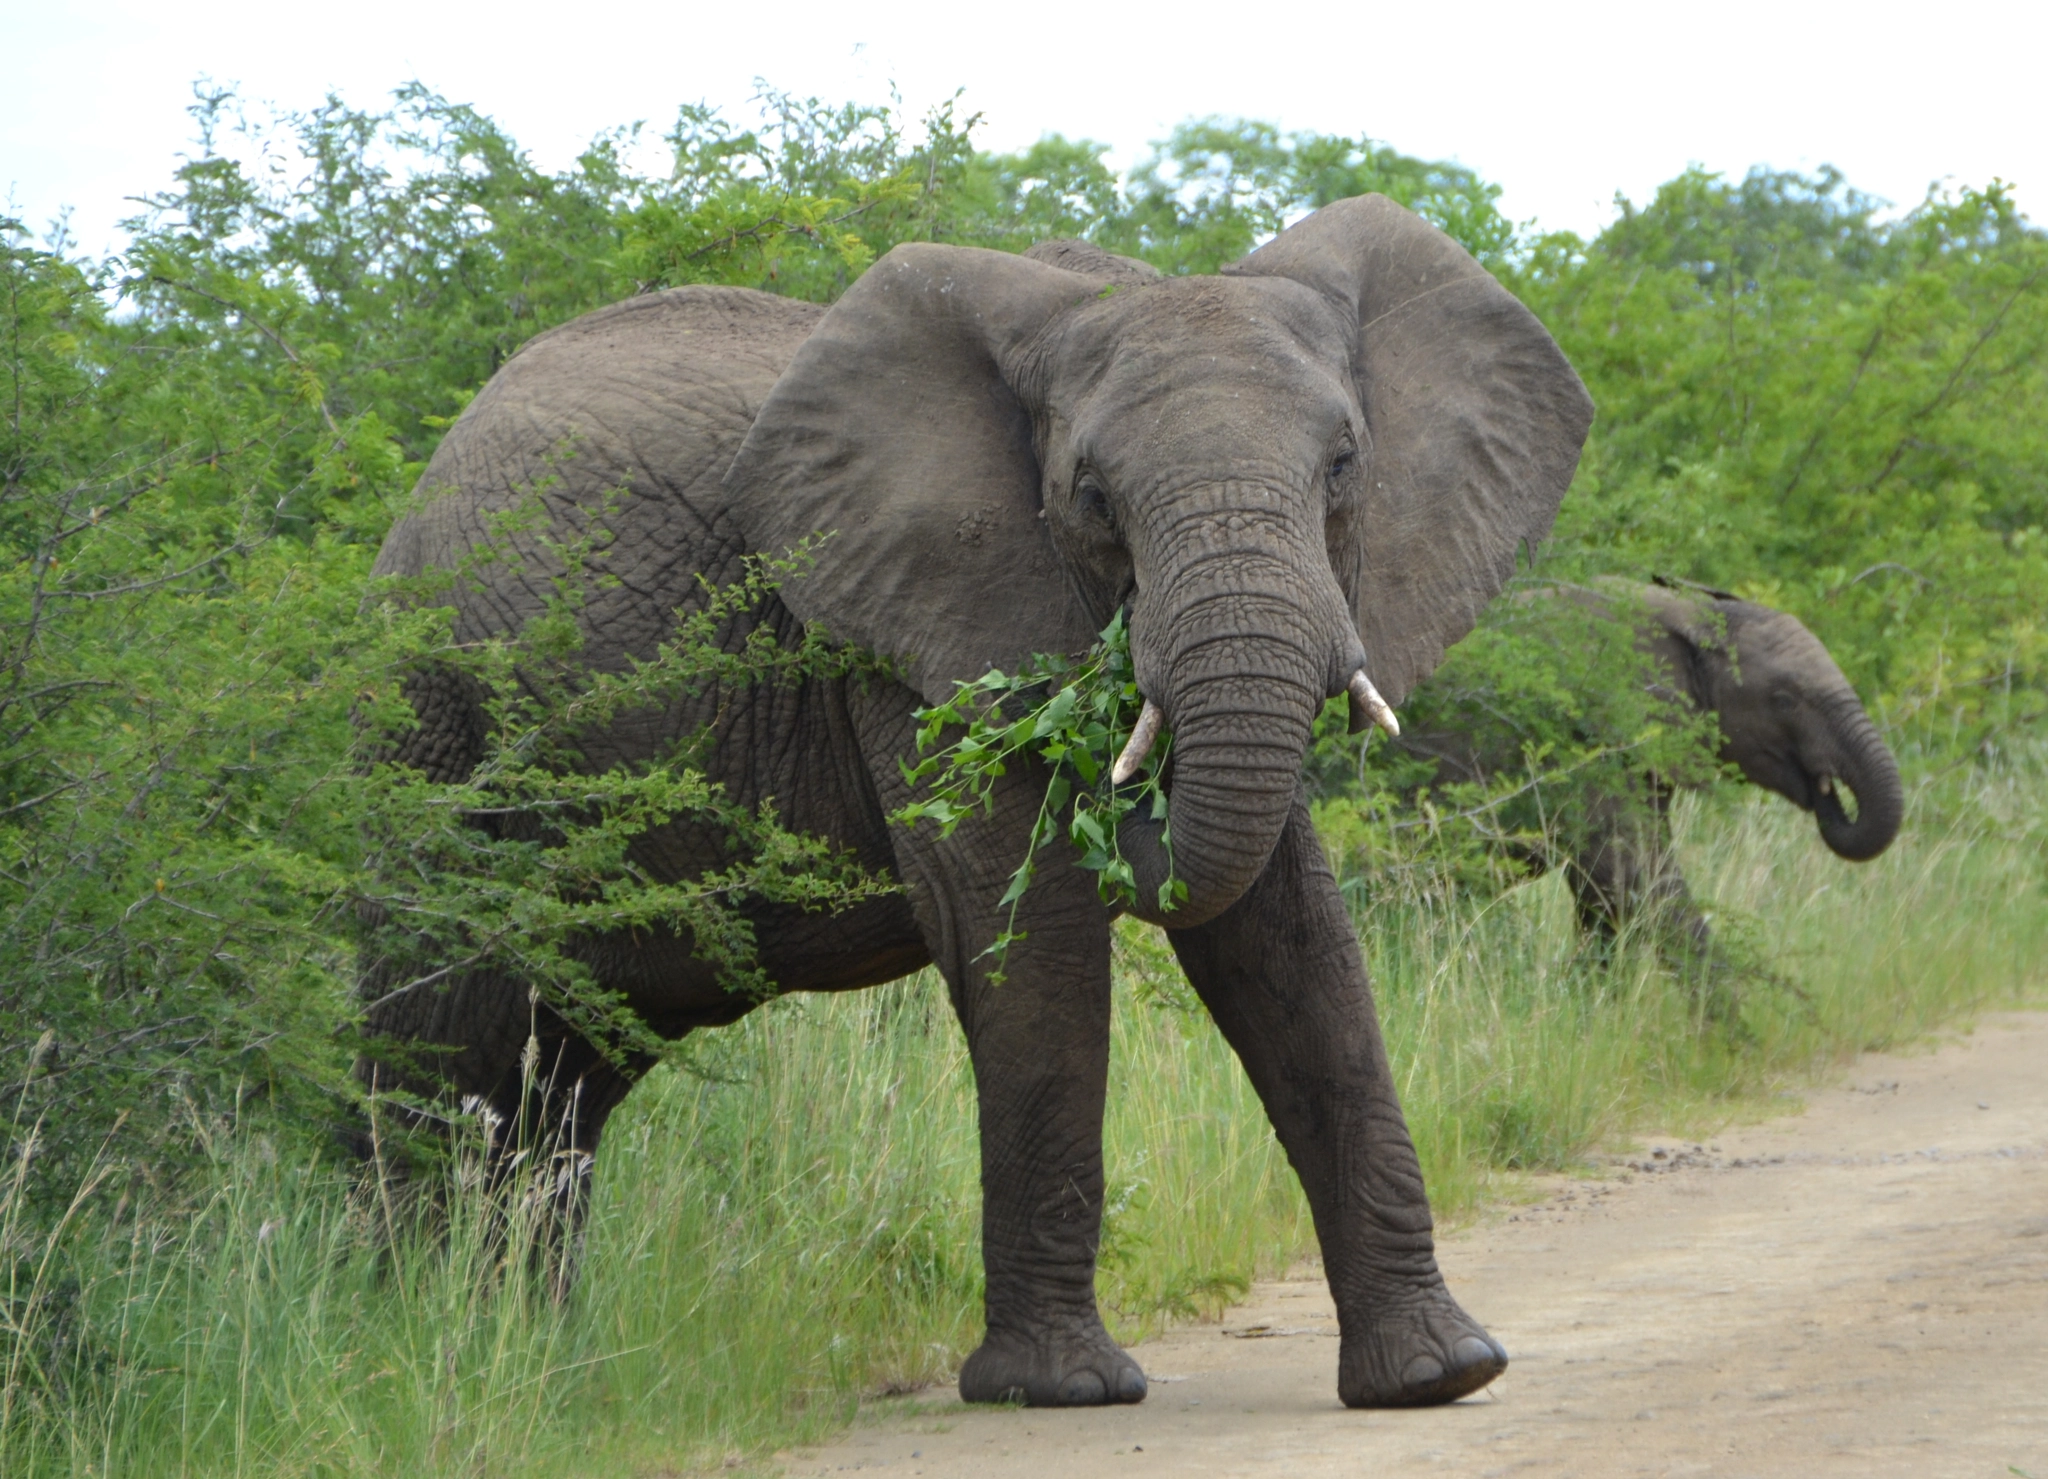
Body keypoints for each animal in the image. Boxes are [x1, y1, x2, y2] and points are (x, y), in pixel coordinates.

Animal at [359, 196, 1594, 1410]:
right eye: (1090, 498)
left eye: (1342, 465)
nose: (1116, 748)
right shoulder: (905, 628)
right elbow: (1027, 921)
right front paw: (1060, 1389)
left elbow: (1287, 935)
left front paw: (1437, 1373)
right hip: (430, 729)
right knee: (426, 1054)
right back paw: (412, 1350)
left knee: (554, 1088)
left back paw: (540, 1360)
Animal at [1381, 578, 1904, 953]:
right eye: (1783, 700)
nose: (1827, 793)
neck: (1689, 613)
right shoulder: (1588, 737)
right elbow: (1632, 879)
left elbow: (1609, 897)